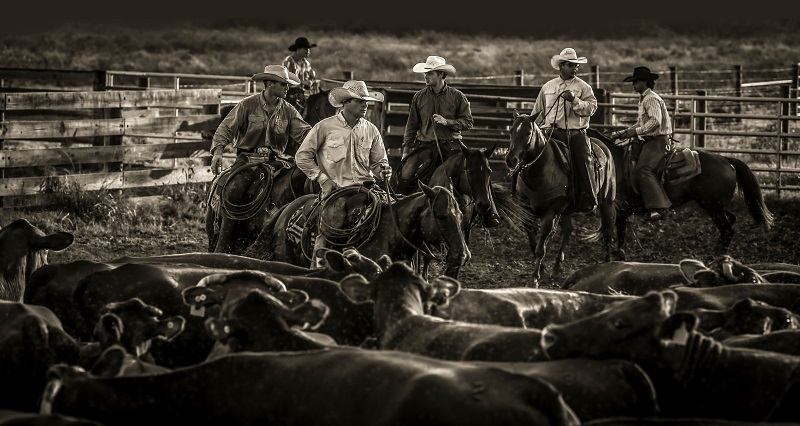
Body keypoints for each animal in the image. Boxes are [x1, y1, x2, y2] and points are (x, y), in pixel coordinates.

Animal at [244, 182, 471, 275]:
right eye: (441, 216)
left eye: (460, 215)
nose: (463, 256)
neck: (389, 236)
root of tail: (287, 209)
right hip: (284, 258)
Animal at [505, 114, 623, 287]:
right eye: (511, 130)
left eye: (528, 133)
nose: (510, 160)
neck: (541, 170)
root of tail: (604, 148)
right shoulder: (527, 212)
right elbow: (533, 243)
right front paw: (542, 269)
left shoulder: (550, 214)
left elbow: (541, 247)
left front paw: (533, 279)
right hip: (566, 211)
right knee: (568, 230)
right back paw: (556, 267)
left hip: (607, 202)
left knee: (607, 232)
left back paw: (607, 266)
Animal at [586, 128, 774, 256]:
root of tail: (726, 160)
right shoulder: (622, 211)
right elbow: (619, 235)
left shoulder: (615, 208)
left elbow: (612, 234)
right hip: (714, 206)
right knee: (730, 223)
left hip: (713, 207)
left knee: (727, 230)